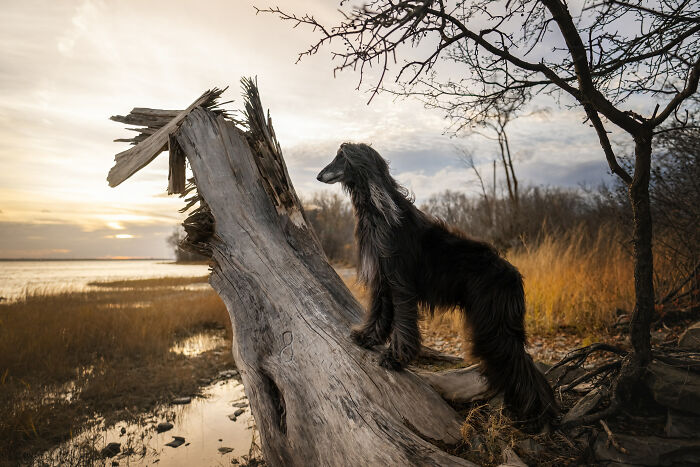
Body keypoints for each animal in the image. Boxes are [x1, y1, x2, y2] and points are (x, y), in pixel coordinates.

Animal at [318, 144, 556, 432]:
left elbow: (403, 324)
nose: (319, 176)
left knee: (517, 361)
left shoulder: (400, 283)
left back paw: (537, 416)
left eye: (341, 157)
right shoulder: (382, 281)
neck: (379, 213)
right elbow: (378, 313)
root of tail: (514, 277)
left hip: (494, 323)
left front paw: (395, 359)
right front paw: (367, 338)